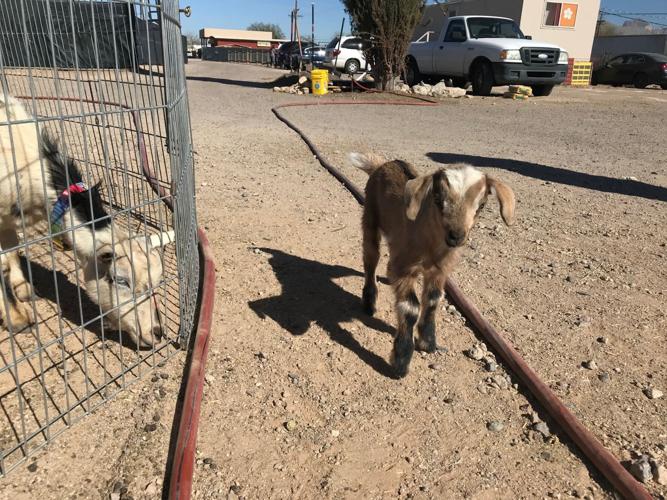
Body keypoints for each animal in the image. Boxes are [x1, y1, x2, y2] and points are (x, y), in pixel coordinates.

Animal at [0, 94, 164, 348]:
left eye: (158, 282)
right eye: (120, 280)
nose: (156, 333)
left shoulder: (9, 218)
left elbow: (12, 251)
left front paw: (23, 289)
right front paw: (17, 319)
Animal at [350, 152, 516, 378]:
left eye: (481, 206)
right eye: (438, 200)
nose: (456, 236)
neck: (429, 244)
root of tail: (382, 164)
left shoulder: (440, 270)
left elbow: (433, 300)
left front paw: (428, 343)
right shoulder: (404, 267)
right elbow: (410, 307)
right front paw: (401, 361)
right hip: (370, 217)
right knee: (370, 258)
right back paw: (369, 302)